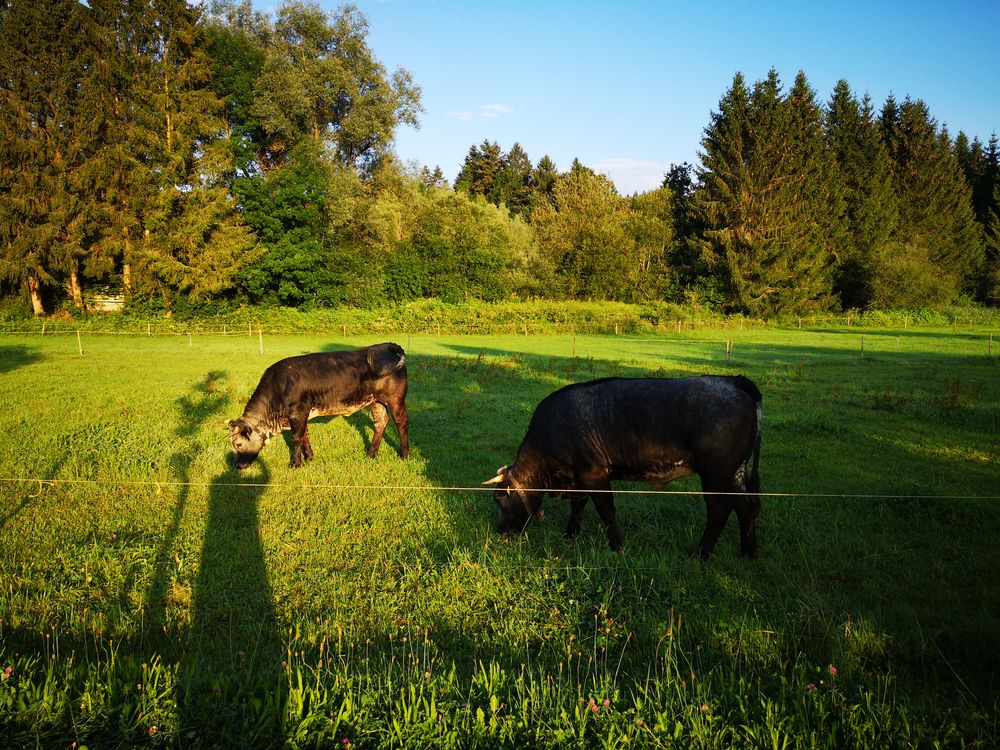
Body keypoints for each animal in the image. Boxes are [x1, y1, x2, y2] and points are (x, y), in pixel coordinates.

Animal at [229, 342, 408, 470]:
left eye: (238, 444)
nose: (237, 466)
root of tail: (390, 345)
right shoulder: (301, 415)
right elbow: (304, 435)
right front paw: (309, 458)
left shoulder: (298, 411)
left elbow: (296, 438)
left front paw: (295, 463)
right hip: (376, 401)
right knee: (380, 423)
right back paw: (371, 454)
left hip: (395, 399)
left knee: (401, 423)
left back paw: (404, 455)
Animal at [482, 376, 756, 560]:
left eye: (499, 500)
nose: (501, 531)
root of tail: (733, 381)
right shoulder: (579, 478)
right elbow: (579, 504)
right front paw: (570, 534)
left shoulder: (594, 475)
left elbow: (606, 511)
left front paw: (617, 545)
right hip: (736, 472)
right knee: (746, 507)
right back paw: (747, 552)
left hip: (716, 473)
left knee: (719, 509)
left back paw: (702, 552)